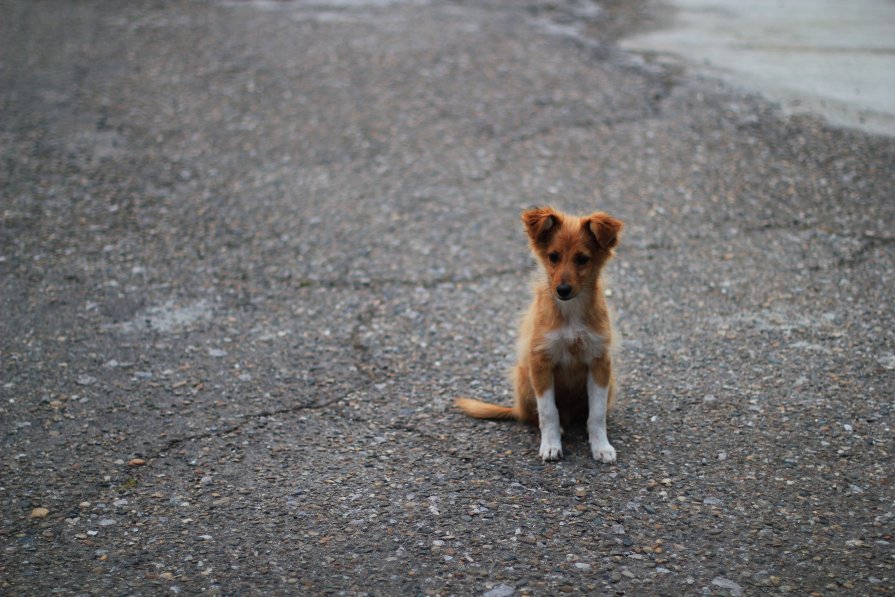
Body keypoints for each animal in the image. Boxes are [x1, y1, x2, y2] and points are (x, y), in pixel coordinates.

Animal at [456, 207, 624, 464]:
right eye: (553, 256)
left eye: (582, 259)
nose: (562, 290)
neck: (570, 312)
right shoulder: (540, 362)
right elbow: (548, 412)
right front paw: (551, 446)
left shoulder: (600, 362)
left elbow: (597, 413)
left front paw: (601, 447)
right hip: (525, 380)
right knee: (535, 416)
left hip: (610, 382)